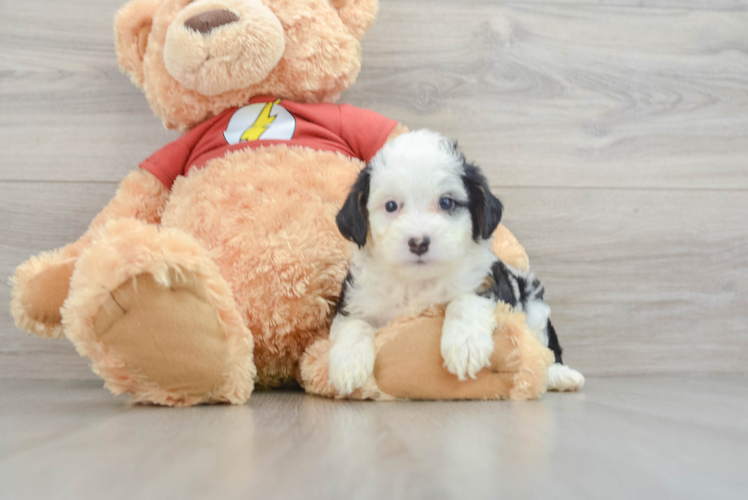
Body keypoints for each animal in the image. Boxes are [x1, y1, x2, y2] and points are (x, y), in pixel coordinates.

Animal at [328, 131, 584, 396]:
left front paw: (466, 344)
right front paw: (348, 365)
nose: (418, 242)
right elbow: (353, 323)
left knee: (542, 352)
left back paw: (560, 376)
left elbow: (465, 299)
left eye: (447, 203)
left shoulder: (487, 282)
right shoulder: (356, 297)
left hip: (534, 309)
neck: (417, 281)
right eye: (391, 206)